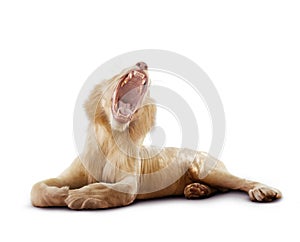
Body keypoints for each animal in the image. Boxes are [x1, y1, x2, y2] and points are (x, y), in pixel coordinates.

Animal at [30, 61, 282, 209]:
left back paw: (264, 191)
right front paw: (61, 193)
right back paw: (196, 190)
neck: (110, 139)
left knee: (238, 181)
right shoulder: (66, 175)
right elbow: (36, 189)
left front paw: (80, 196)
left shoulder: (130, 183)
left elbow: (111, 189)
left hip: (205, 169)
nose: (142, 63)